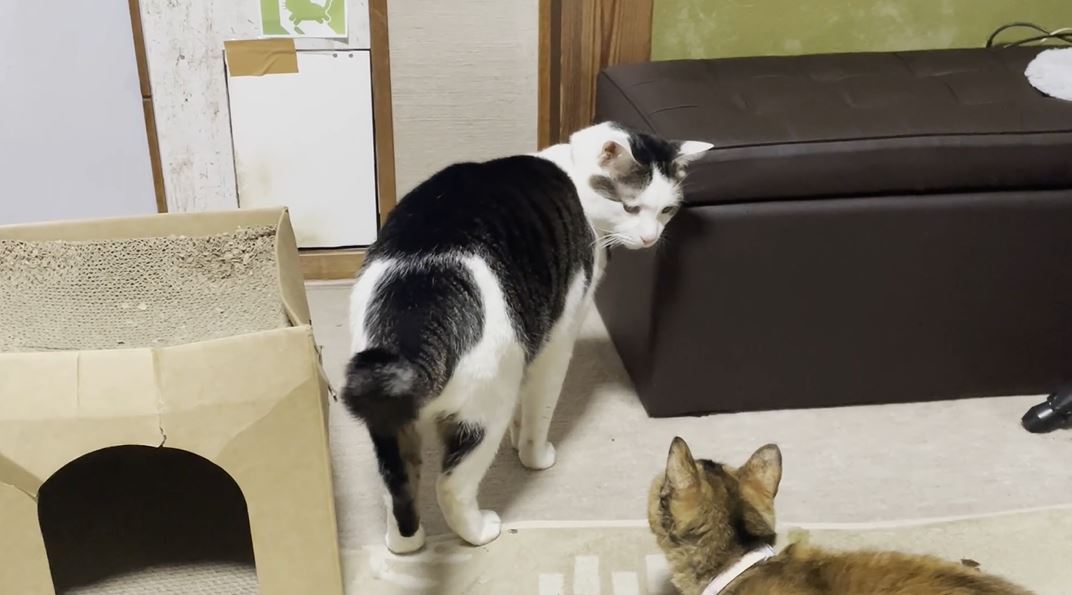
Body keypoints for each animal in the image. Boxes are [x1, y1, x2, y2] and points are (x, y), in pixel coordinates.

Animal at [343, 122, 713, 553]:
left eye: (667, 211)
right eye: (630, 208)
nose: (651, 239)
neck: (573, 173)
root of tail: (417, 305)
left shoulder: (532, 342)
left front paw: (517, 437)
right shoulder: (557, 338)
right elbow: (541, 411)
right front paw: (533, 454)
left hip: (387, 416)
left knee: (396, 485)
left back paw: (405, 543)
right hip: (485, 406)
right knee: (450, 485)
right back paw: (480, 530)